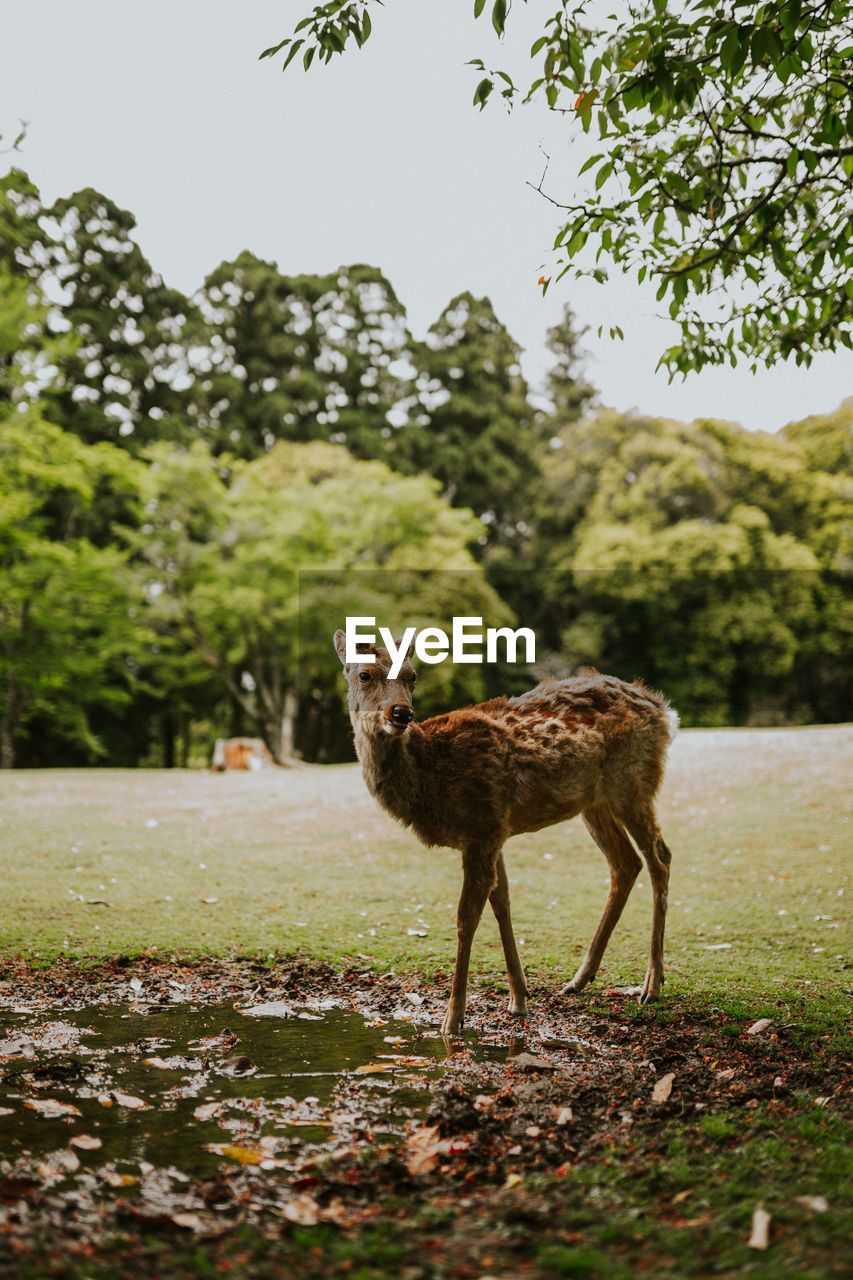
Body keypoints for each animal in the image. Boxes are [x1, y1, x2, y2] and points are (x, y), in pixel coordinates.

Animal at [333, 629, 676, 1039]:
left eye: (413, 676)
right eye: (365, 674)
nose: (401, 713)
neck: (429, 777)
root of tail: (662, 707)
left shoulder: (482, 825)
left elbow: (467, 916)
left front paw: (452, 1020)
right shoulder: (495, 829)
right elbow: (502, 902)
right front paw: (519, 997)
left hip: (633, 781)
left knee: (659, 857)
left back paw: (651, 985)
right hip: (595, 801)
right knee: (625, 864)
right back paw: (579, 979)